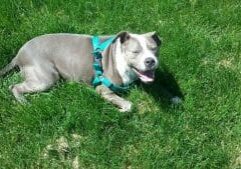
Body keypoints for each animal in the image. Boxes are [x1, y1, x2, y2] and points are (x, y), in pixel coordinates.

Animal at [0, 31, 162, 112]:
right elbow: (129, 105)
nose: (150, 61)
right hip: (46, 78)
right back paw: (24, 103)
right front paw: (120, 110)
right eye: (135, 52)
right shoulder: (104, 90)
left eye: (154, 49)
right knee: (14, 86)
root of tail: (19, 54)